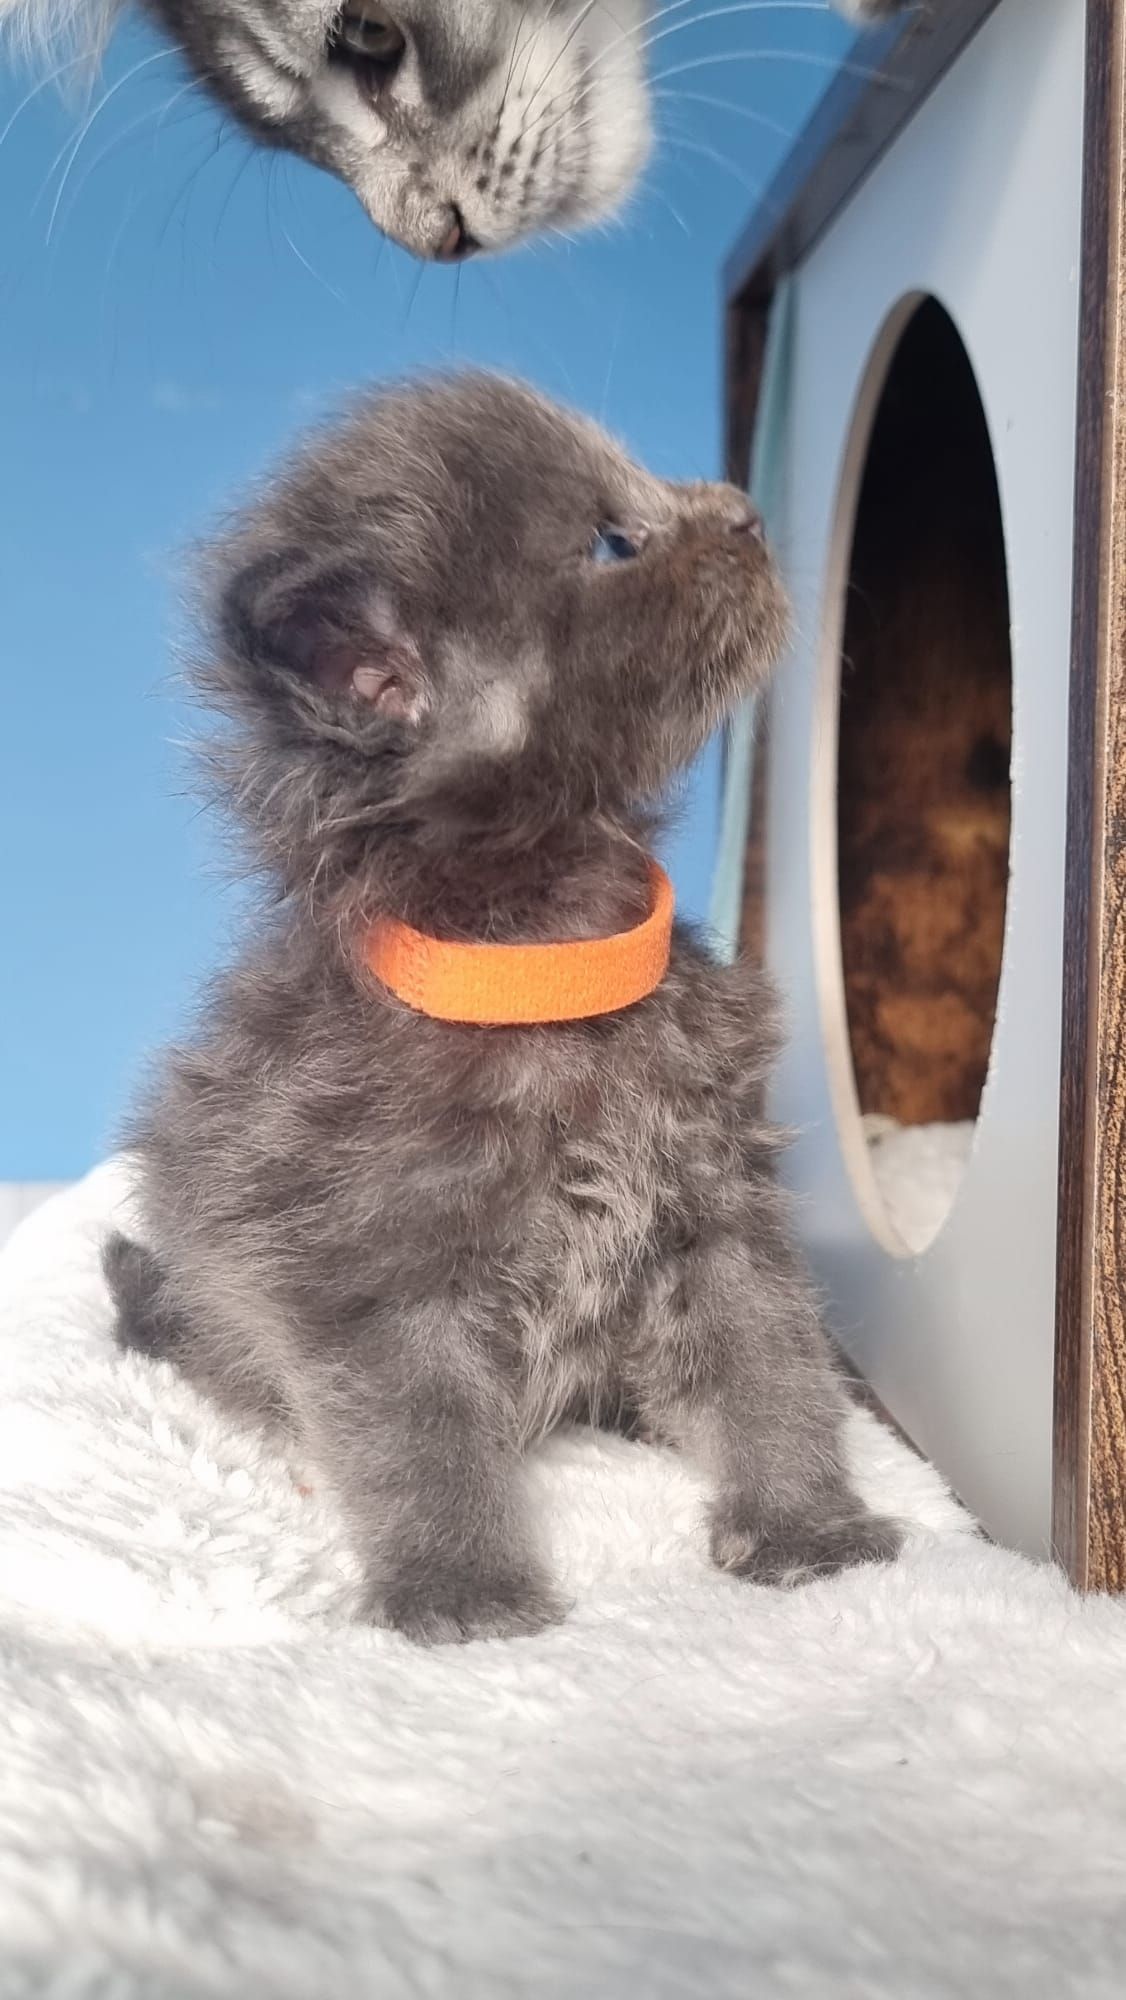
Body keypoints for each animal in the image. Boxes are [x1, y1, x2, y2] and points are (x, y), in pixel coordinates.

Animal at [103, 371, 902, 1644]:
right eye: (615, 539)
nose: (744, 511)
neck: (548, 964)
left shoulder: (715, 1207)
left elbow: (770, 1366)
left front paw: (804, 1528)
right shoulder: (362, 1276)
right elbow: (419, 1445)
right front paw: (461, 1590)